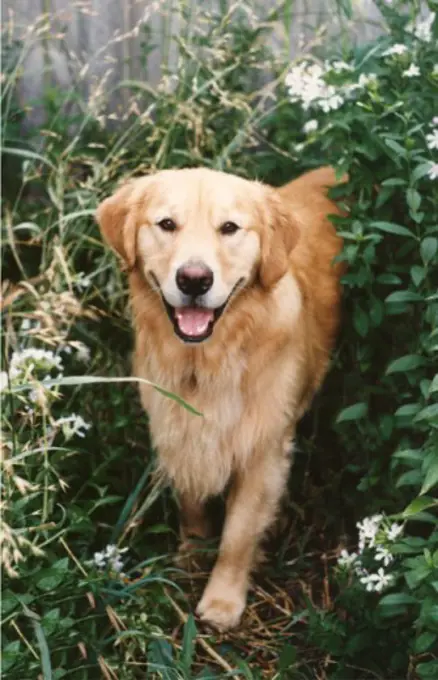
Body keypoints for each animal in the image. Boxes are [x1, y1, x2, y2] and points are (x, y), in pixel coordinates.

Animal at [97, 165, 344, 632]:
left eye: (229, 228)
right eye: (167, 224)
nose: (194, 279)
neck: (207, 363)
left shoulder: (263, 451)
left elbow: (238, 536)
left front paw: (223, 601)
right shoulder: (179, 431)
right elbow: (192, 507)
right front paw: (191, 559)